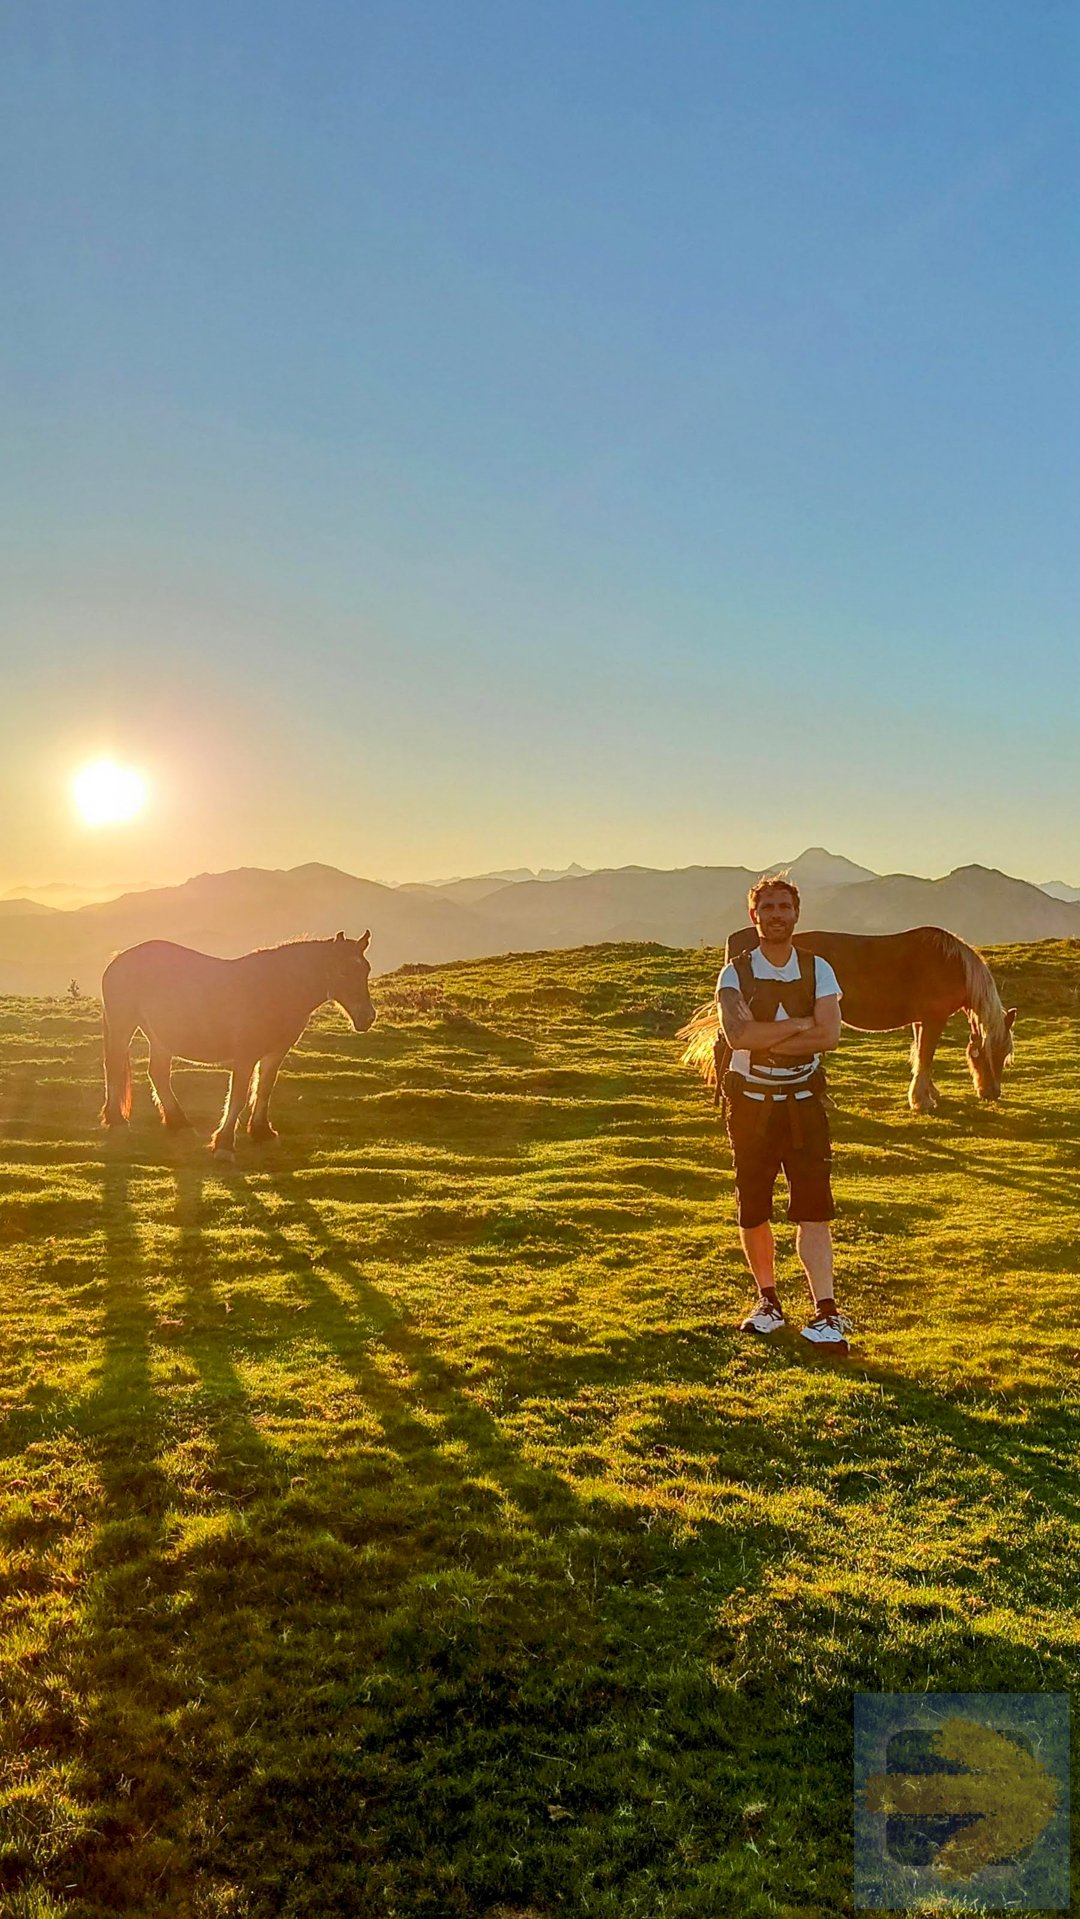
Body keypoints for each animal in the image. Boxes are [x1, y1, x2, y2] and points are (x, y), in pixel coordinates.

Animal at [101, 932, 377, 1151]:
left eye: (366, 970)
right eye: (343, 971)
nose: (367, 1017)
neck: (277, 989)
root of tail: (118, 959)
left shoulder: (275, 1052)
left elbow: (264, 1089)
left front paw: (262, 1132)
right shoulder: (246, 1054)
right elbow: (238, 1096)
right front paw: (224, 1144)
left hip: (160, 1037)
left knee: (157, 1074)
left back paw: (179, 1123)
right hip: (123, 1026)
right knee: (115, 1067)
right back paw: (118, 1121)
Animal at [679, 924, 1020, 1120]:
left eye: (1005, 1054)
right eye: (990, 1053)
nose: (992, 1093)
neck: (950, 963)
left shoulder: (921, 1020)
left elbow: (920, 1055)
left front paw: (929, 1094)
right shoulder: (933, 1019)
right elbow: (925, 1056)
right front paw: (922, 1101)